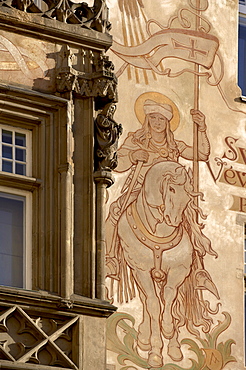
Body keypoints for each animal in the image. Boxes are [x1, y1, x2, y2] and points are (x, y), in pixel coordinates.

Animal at [117, 161, 219, 368]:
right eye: (171, 189)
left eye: (188, 195)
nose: (175, 221)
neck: (160, 233)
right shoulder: (140, 270)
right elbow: (153, 304)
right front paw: (155, 353)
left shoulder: (178, 272)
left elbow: (169, 302)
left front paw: (168, 330)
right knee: (147, 301)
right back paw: (144, 338)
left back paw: (173, 347)